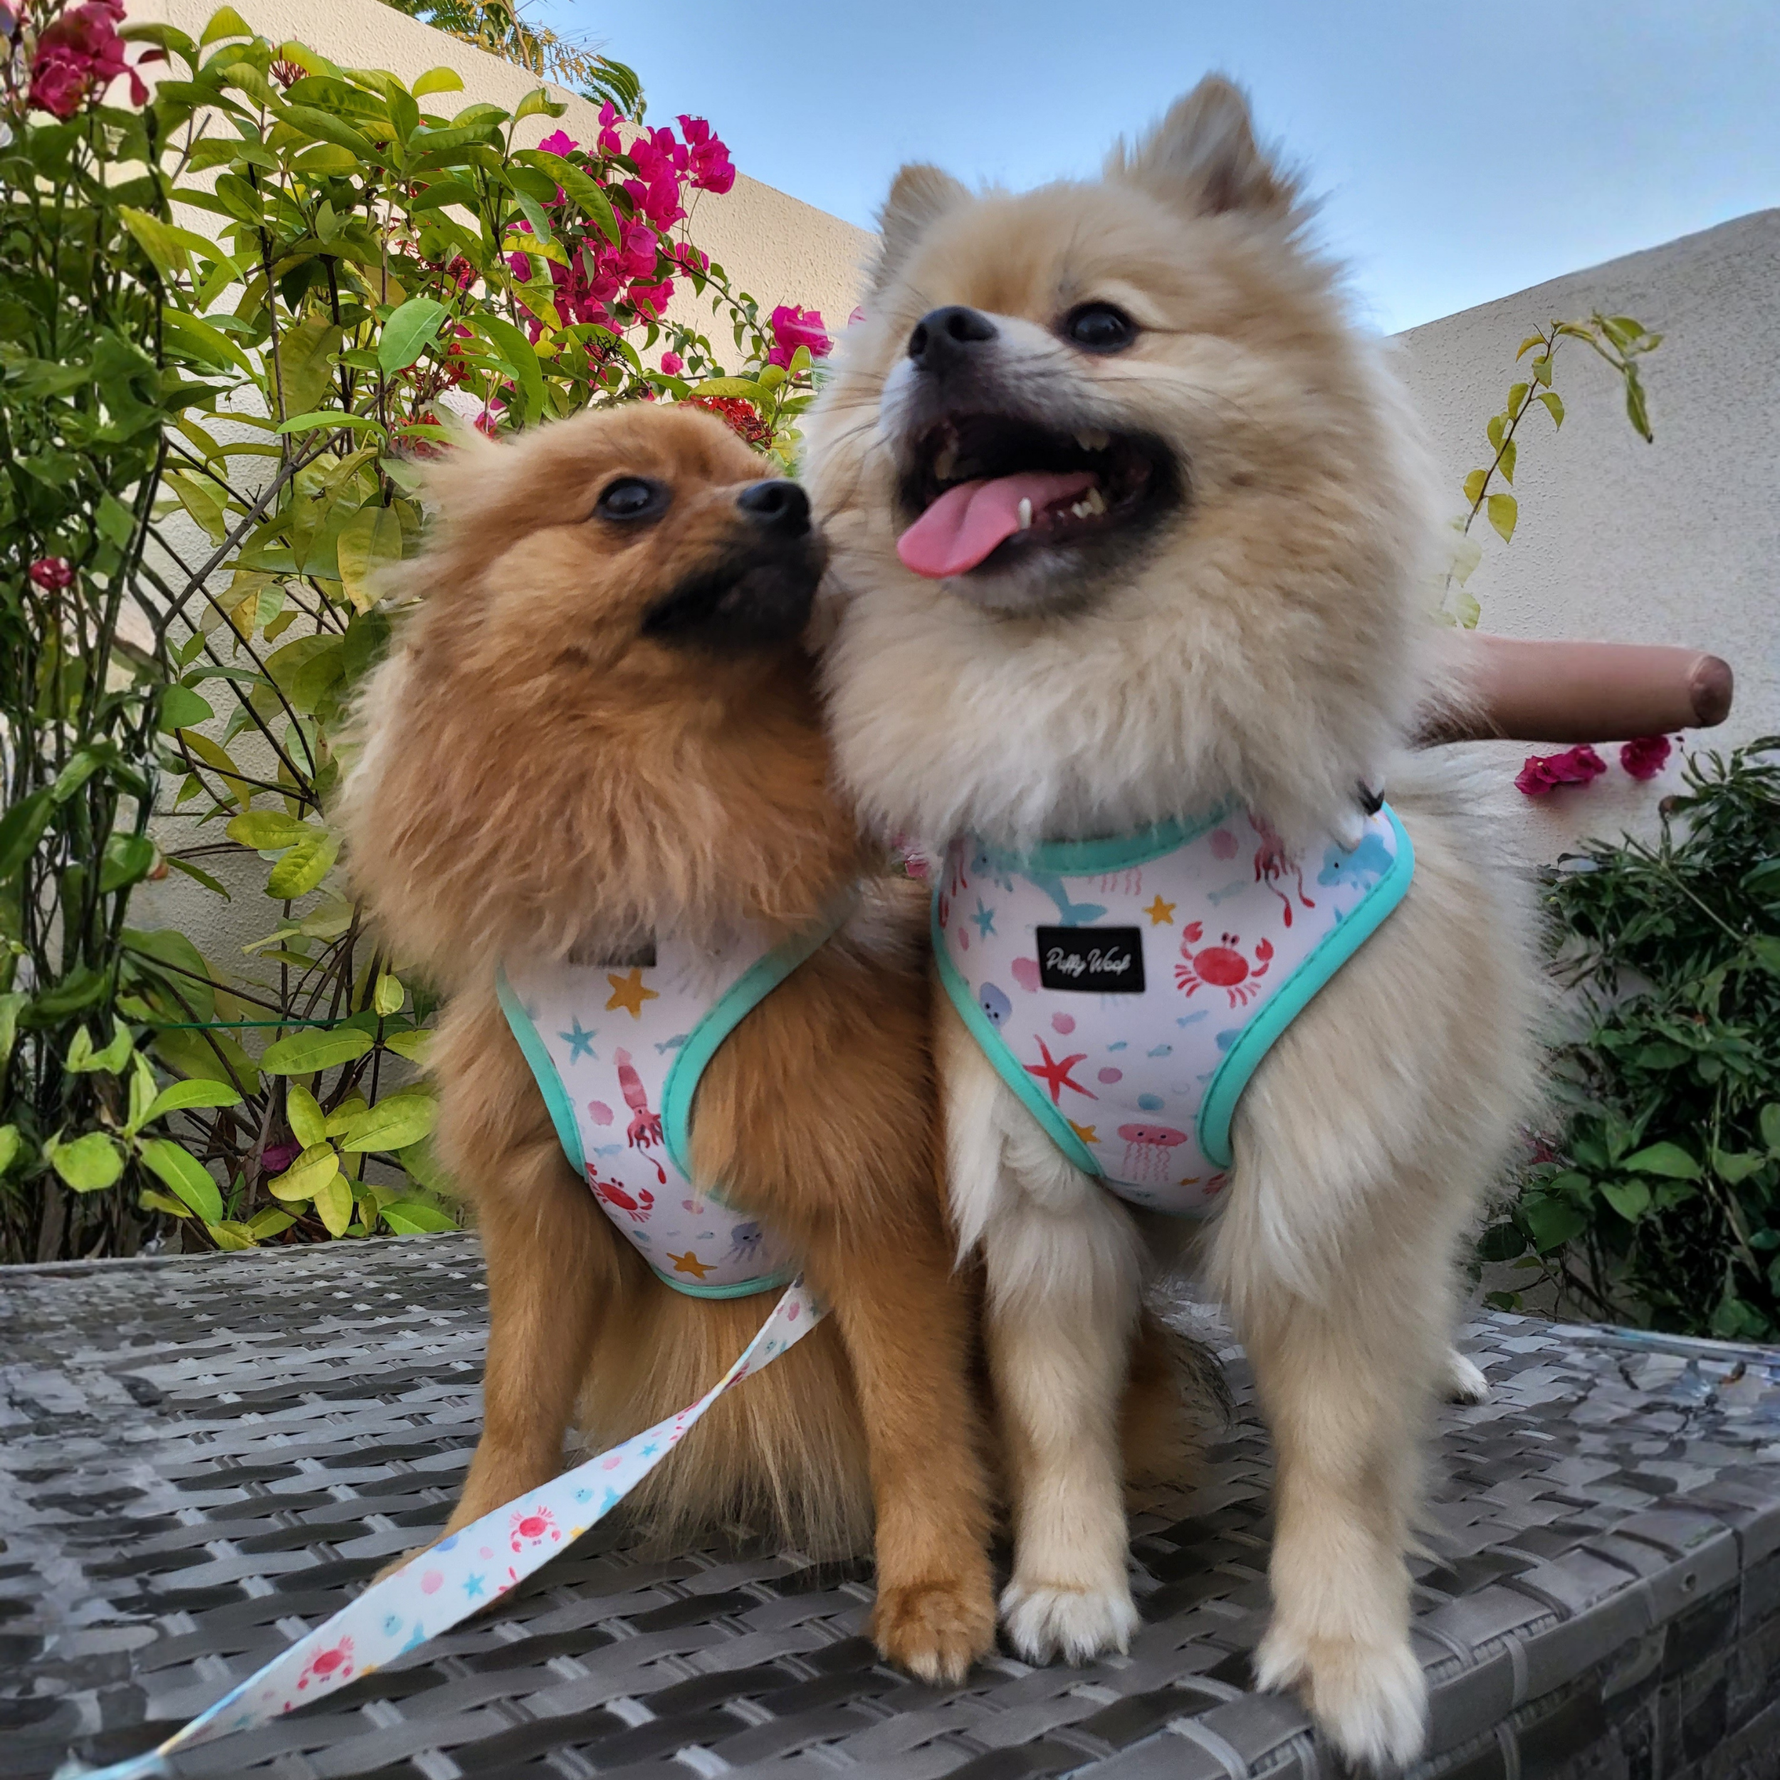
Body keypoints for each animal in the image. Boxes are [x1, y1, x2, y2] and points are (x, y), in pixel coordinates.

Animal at [337, 404, 997, 1683]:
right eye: (628, 498)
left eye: (765, 478)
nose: (788, 501)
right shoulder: (539, 1207)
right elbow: (516, 1401)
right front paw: (465, 1554)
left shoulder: (870, 1211)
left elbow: (913, 1416)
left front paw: (936, 1587)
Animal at [801, 78, 1541, 1763]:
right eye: (912, 338)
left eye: (1100, 325)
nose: (940, 333)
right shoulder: (1036, 1195)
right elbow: (1055, 1413)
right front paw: (1069, 1586)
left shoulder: (1333, 1188)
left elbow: (1342, 1455)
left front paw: (1345, 1655)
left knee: (1424, 1300)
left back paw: (1450, 1367)